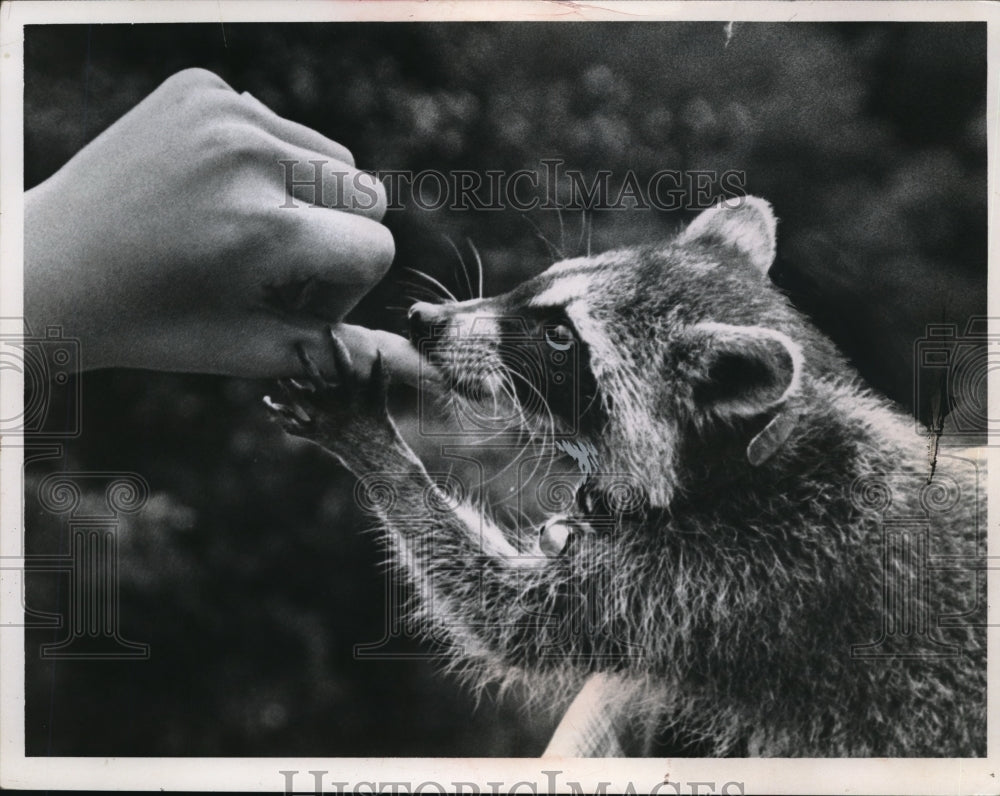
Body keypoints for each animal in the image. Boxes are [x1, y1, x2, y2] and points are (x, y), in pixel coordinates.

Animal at [266, 197, 985, 757]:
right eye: (540, 284)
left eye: (560, 338)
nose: (424, 321)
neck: (755, 458)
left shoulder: (714, 582)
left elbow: (506, 616)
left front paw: (384, 456)